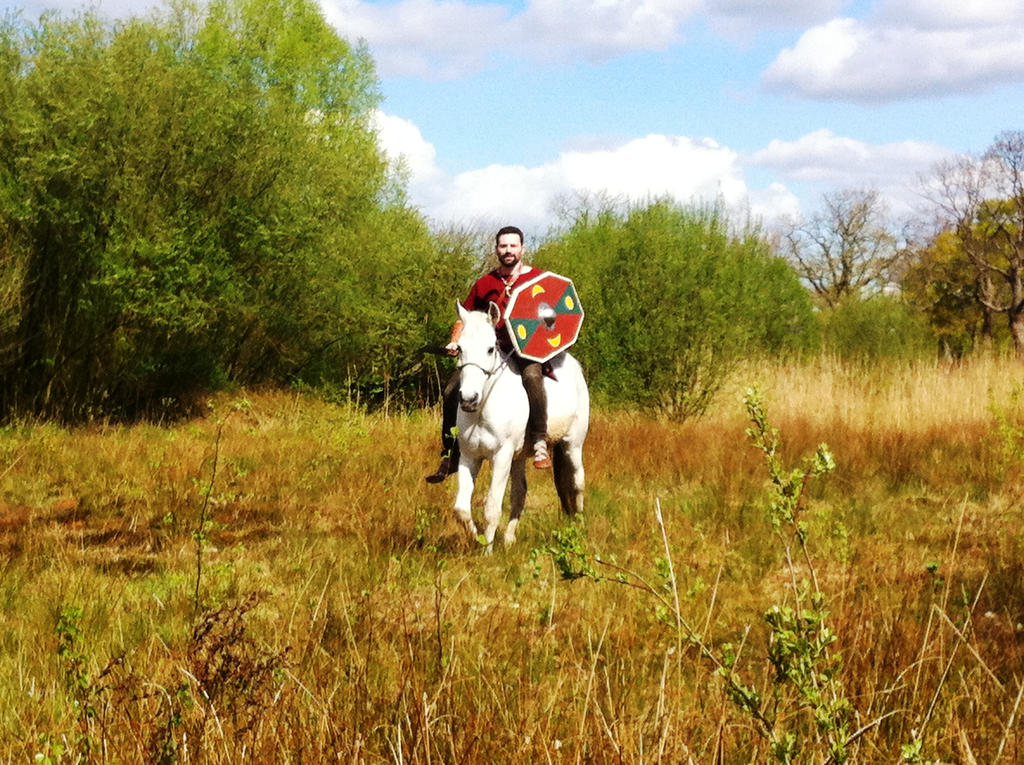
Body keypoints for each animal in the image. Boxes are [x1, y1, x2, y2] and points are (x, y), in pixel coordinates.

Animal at [452, 301, 589, 548]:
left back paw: (579, 526)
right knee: (520, 493)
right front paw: (476, 538)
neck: (483, 410)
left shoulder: (501, 456)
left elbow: (492, 508)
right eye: (459, 348)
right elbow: (461, 509)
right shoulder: (470, 457)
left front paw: (486, 549)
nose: (468, 399)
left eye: (490, 349)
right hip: (519, 457)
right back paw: (508, 539)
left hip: (572, 444)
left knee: (577, 483)